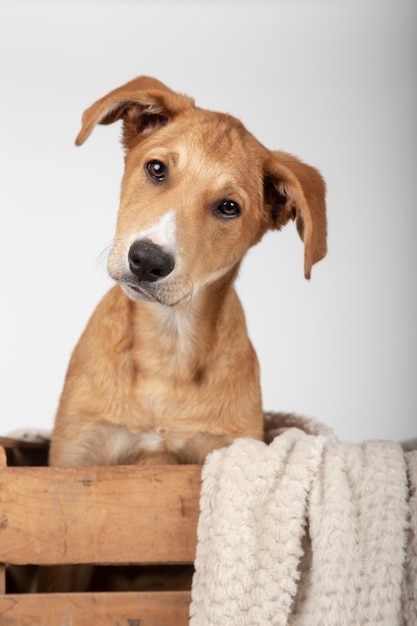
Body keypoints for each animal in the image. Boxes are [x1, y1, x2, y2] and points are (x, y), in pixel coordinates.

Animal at [48, 75, 326, 468]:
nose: (147, 260)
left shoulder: (230, 447)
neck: (169, 341)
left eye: (228, 207)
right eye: (157, 169)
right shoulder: (76, 451)